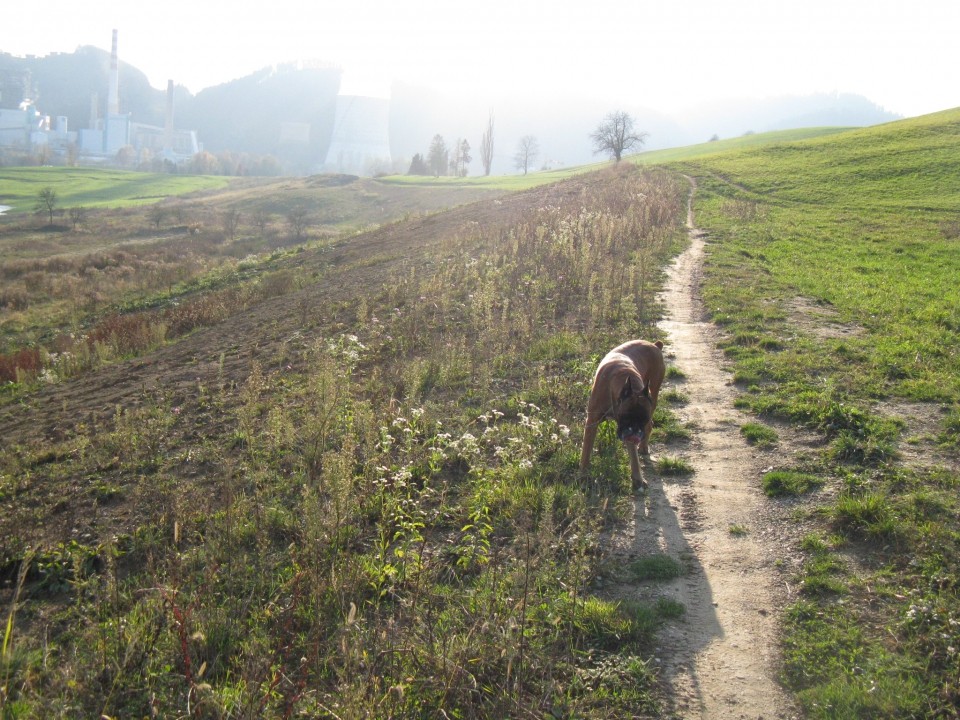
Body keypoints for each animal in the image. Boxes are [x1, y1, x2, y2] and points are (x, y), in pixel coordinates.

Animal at [576, 338, 668, 490]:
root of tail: (655, 345)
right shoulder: (592, 422)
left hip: (654, 394)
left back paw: (643, 446)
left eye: (642, 420)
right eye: (626, 417)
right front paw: (583, 474)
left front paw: (637, 478)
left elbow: (633, 456)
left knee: (650, 425)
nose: (636, 433)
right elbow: (586, 450)